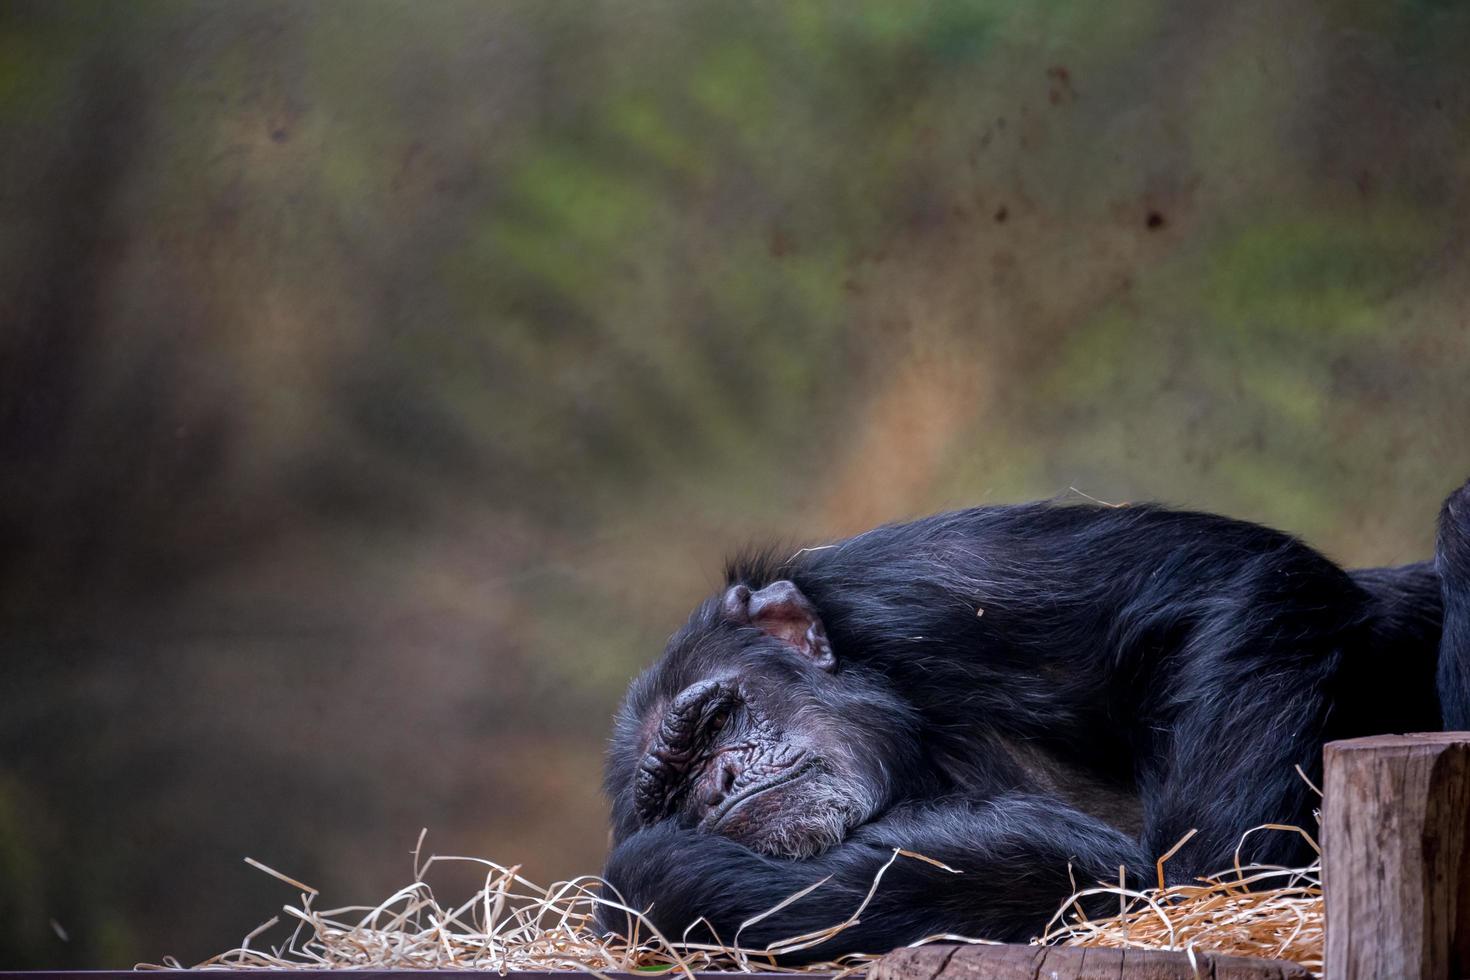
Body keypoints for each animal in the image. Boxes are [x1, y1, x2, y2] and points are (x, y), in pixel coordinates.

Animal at [596, 478, 1470, 963]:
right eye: (671, 791)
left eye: (714, 721)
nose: (718, 783)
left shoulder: (924, 582)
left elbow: (1231, 584)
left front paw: (1207, 875)